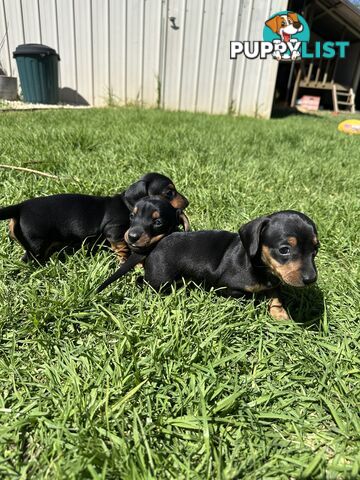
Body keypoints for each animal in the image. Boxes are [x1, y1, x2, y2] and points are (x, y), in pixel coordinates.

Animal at [0, 172, 190, 262]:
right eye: (169, 192)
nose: (187, 202)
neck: (126, 204)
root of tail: (20, 207)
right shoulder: (115, 231)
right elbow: (122, 247)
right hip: (37, 245)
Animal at [97, 211, 320, 320]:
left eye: (316, 250)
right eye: (284, 250)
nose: (311, 279)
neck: (260, 267)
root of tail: (152, 246)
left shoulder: (275, 283)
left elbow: (275, 296)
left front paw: (280, 315)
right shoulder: (227, 287)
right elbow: (248, 295)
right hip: (160, 280)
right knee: (143, 281)